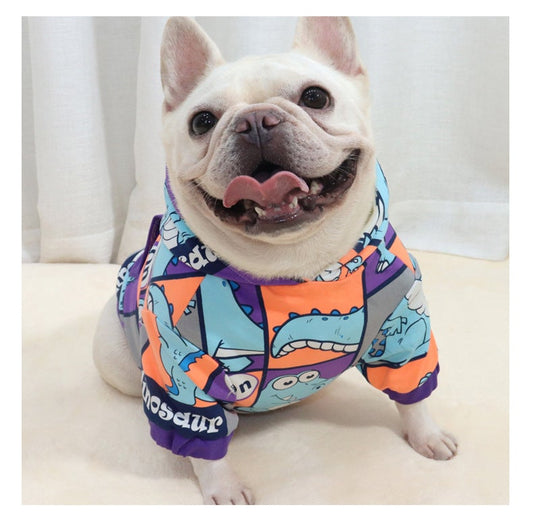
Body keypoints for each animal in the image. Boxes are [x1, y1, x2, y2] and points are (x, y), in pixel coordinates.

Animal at [93, 17, 458, 505]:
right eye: (201, 122)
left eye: (316, 97)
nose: (254, 121)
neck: (295, 265)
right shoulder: (182, 373)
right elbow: (202, 438)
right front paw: (224, 488)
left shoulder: (404, 331)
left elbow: (412, 389)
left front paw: (427, 435)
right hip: (120, 362)